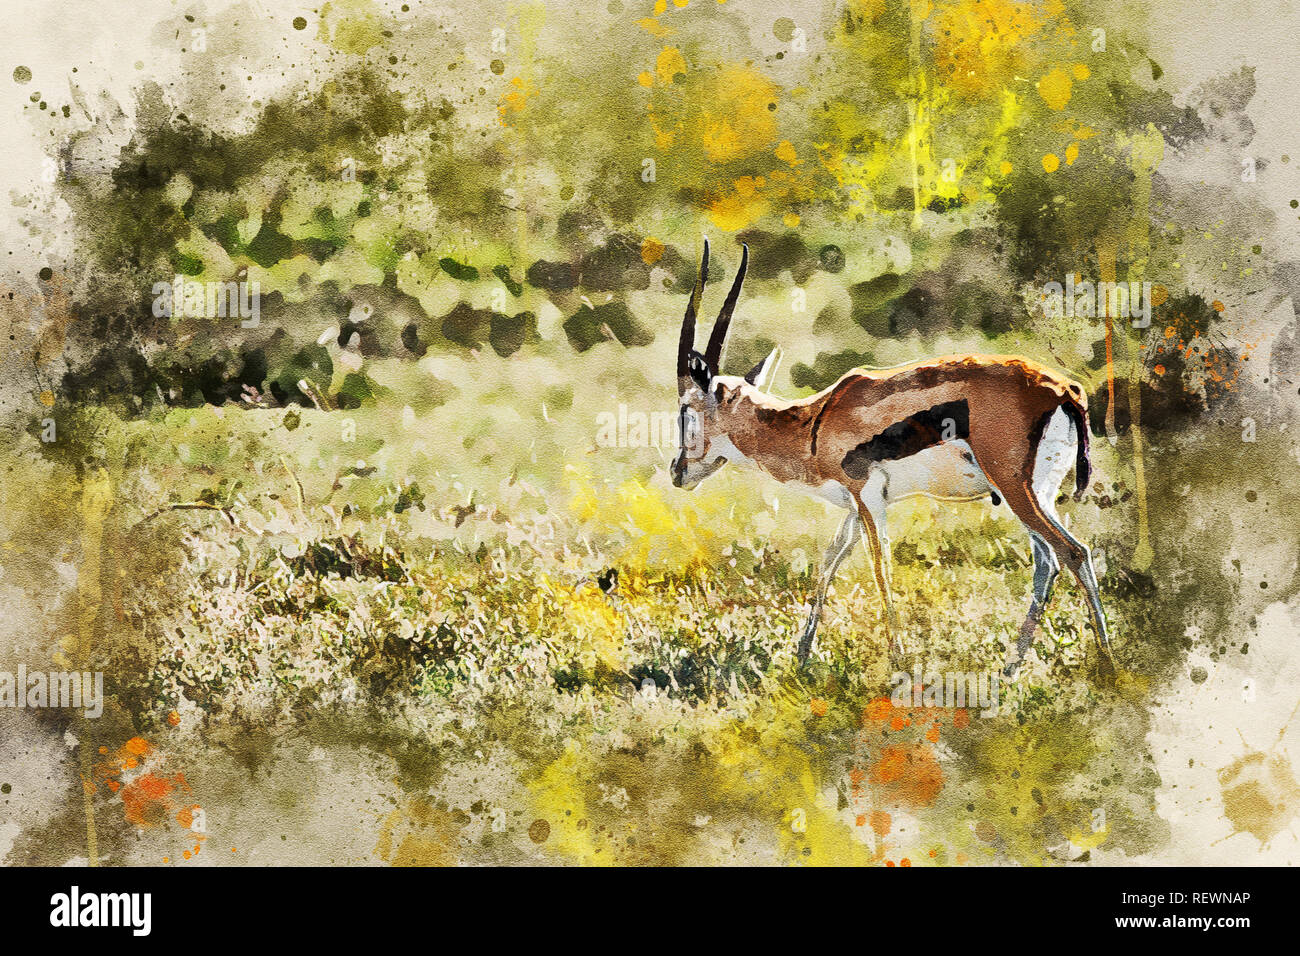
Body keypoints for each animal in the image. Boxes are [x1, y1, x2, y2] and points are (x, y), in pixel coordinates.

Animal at [669, 239, 1113, 677]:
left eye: (685, 410)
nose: (677, 472)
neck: (815, 422)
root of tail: (1065, 390)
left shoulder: (868, 497)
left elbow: (880, 567)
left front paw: (898, 660)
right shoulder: (854, 506)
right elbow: (828, 563)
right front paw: (801, 659)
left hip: (1017, 491)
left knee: (1073, 552)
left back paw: (1107, 666)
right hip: (1034, 495)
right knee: (1047, 563)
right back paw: (1011, 669)